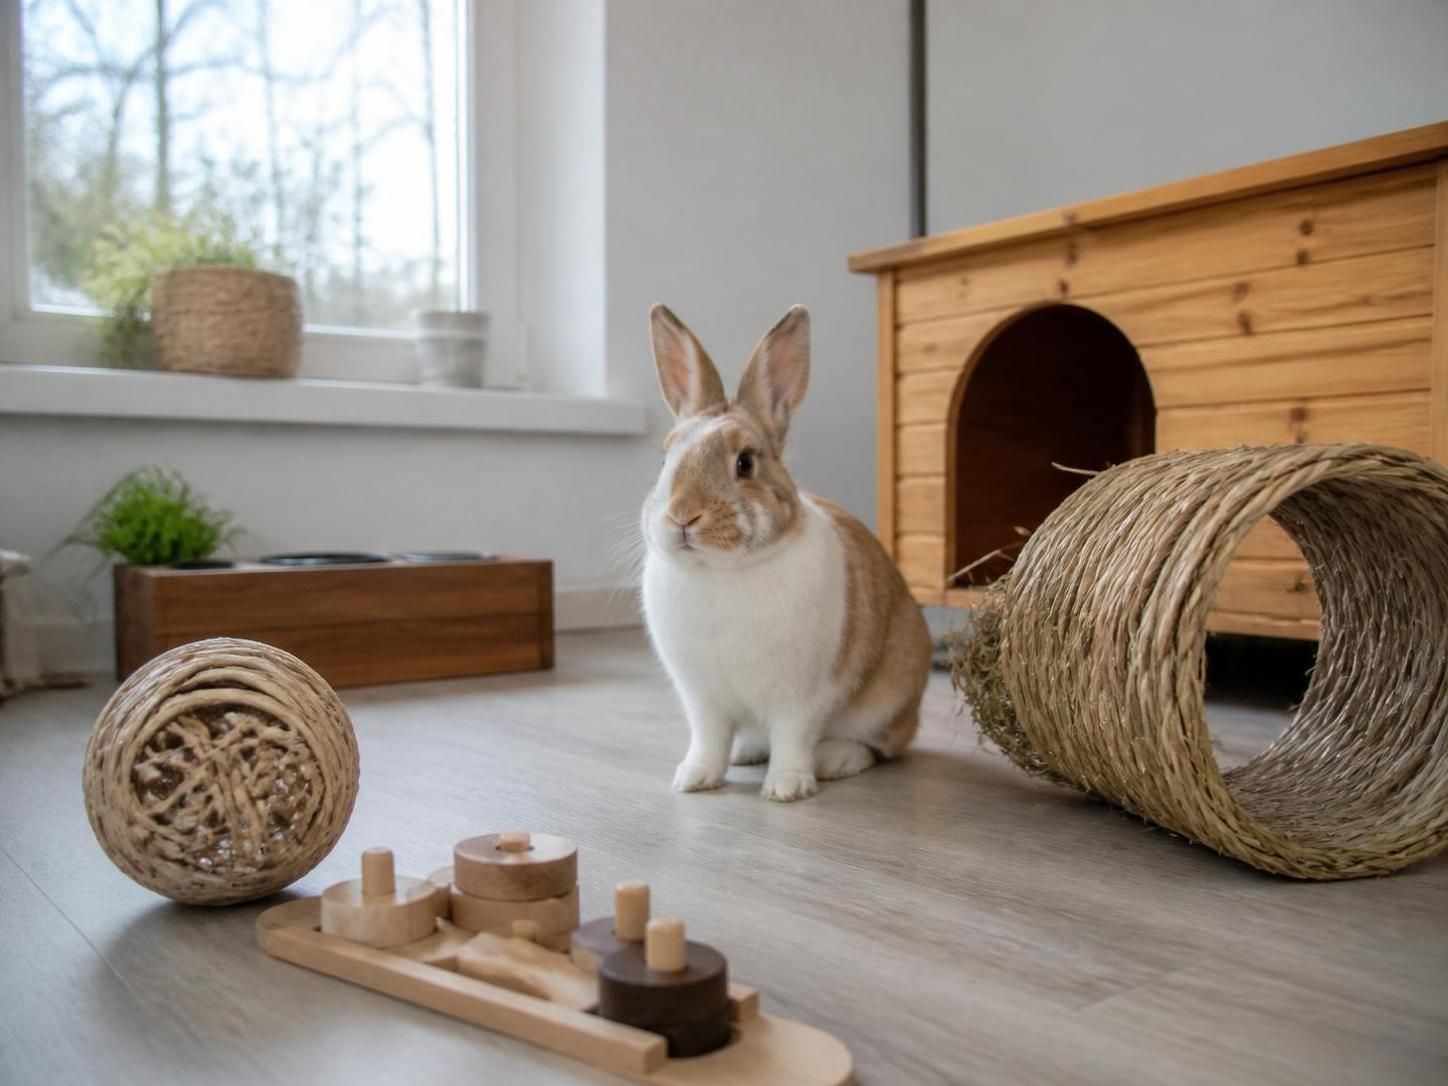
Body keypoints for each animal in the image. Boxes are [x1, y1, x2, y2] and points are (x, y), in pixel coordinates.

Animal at [640, 303, 933, 802]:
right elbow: (708, 738)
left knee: (880, 747)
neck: (722, 571)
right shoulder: (703, 697)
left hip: (887, 700)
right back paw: (746, 752)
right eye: (664, 460)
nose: (683, 516)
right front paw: (694, 778)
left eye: (745, 463)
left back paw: (834, 760)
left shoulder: (801, 696)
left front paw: (787, 788)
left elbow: (794, 737)